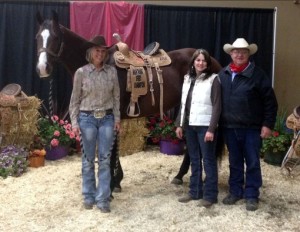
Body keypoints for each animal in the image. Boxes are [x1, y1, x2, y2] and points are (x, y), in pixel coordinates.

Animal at [35, 10, 223, 191]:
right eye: (38, 37)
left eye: (55, 37)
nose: (42, 68)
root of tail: (213, 60)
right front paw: (116, 181)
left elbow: (111, 149)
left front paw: (112, 185)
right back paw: (179, 176)